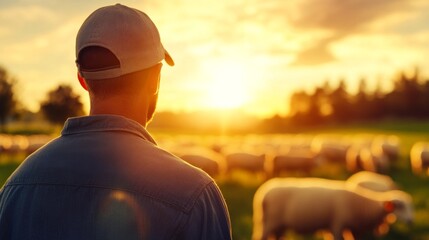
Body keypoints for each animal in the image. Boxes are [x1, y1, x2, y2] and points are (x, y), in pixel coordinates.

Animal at [252, 177, 412, 240]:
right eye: (400, 206)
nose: (410, 221)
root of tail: (264, 192)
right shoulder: (337, 224)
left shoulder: (354, 229)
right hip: (268, 222)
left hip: (279, 225)